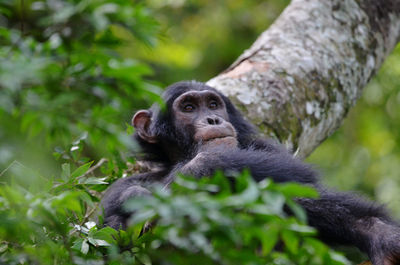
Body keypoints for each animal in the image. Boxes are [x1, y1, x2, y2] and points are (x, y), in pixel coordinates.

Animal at [101, 80, 400, 264]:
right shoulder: (121, 186)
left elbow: (296, 186)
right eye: (188, 107)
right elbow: (113, 216)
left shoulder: (268, 148)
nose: (213, 119)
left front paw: (380, 234)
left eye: (213, 104)